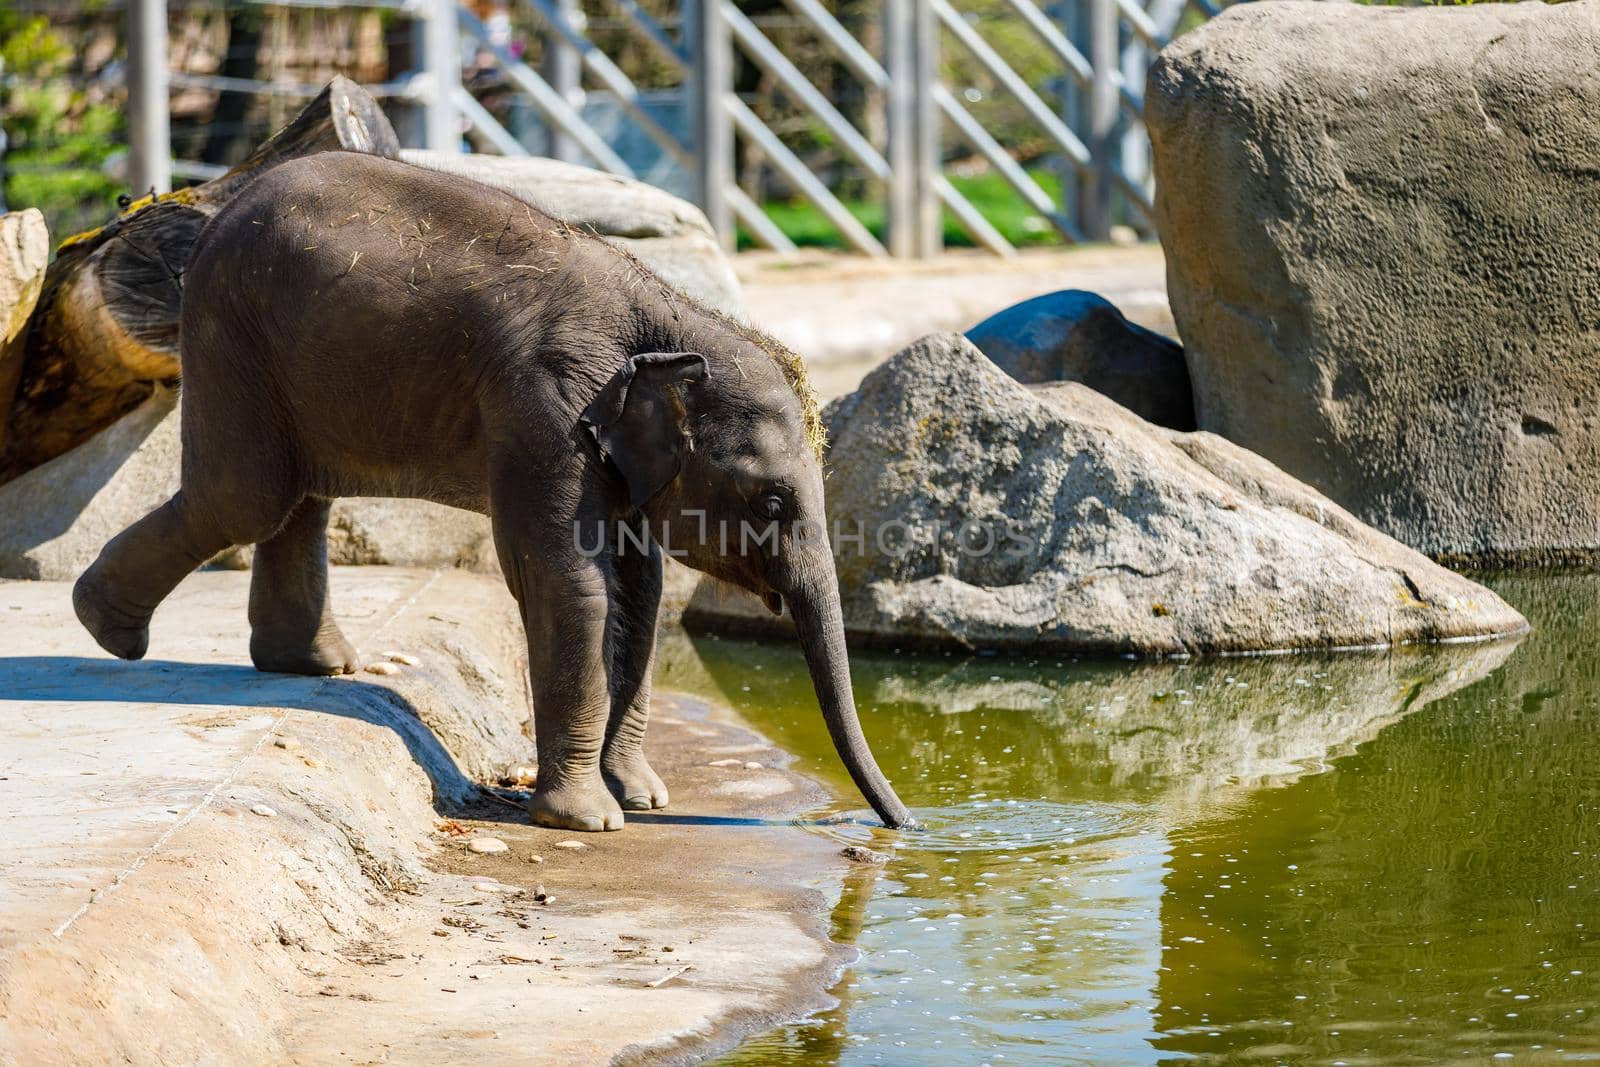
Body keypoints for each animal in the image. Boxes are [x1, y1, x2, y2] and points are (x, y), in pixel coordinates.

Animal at [75, 151, 915, 831]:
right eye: (771, 502)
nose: (905, 826)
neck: (671, 321)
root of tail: (216, 208)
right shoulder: (548, 414)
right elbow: (568, 579)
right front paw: (588, 820)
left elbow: (640, 586)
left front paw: (642, 799)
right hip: (231, 331)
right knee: (245, 494)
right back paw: (108, 627)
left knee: (295, 497)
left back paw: (311, 667)